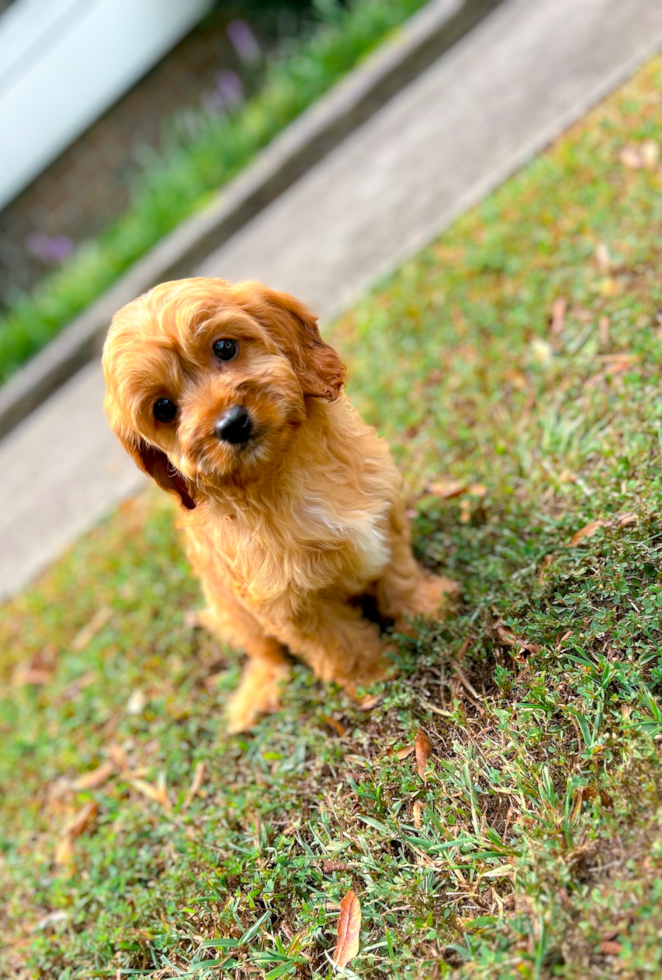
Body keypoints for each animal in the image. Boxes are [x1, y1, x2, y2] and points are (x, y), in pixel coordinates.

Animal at [104, 276, 460, 728]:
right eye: (163, 408)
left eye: (225, 347)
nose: (232, 424)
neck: (283, 468)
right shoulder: (287, 603)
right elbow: (336, 641)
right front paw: (374, 675)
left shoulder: (382, 510)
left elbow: (398, 573)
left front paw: (428, 608)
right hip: (229, 612)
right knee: (266, 653)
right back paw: (262, 688)